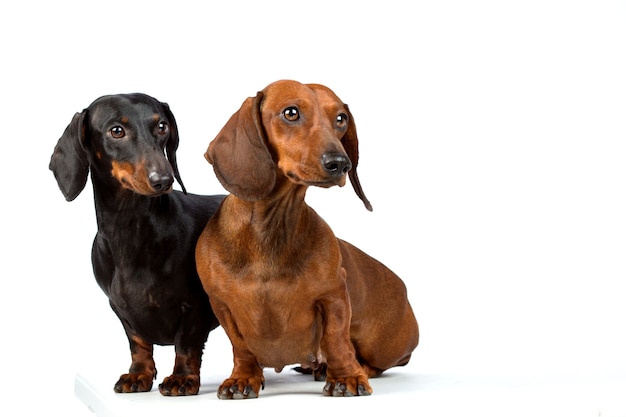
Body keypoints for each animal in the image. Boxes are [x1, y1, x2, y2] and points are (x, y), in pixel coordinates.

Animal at [49, 92, 224, 394]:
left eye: (162, 126)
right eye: (117, 131)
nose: (163, 179)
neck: (131, 233)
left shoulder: (197, 306)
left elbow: (186, 345)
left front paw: (182, 378)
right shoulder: (120, 309)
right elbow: (138, 344)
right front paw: (139, 374)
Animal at [195, 79, 420, 396]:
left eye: (341, 118)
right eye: (291, 113)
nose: (340, 163)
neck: (270, 231)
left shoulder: (333, 296)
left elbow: (336, 340)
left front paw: (346, 377)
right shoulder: (221, 305)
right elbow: (241, 346)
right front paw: (243, 377)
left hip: (380, 346)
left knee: (374, 361)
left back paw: (352, 368)